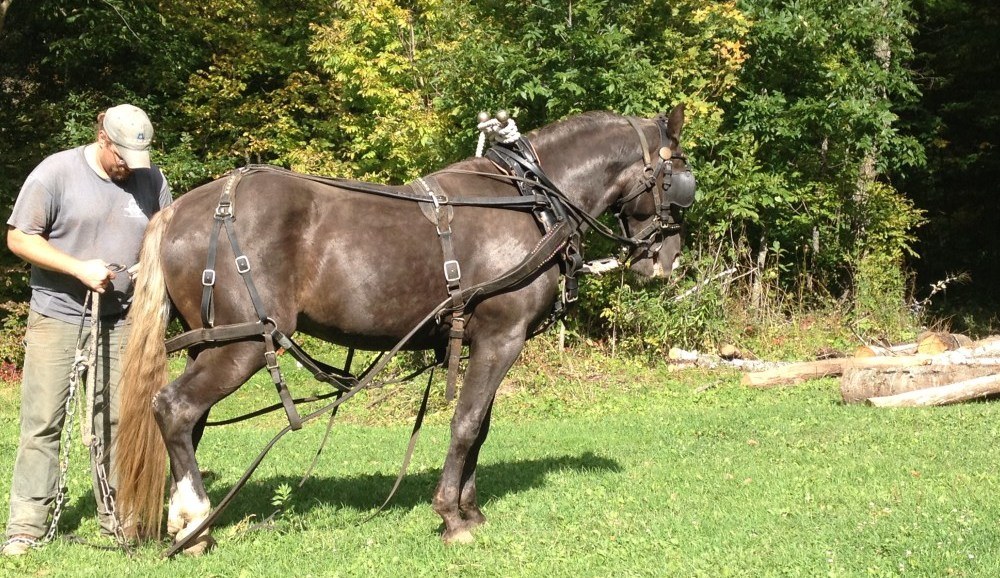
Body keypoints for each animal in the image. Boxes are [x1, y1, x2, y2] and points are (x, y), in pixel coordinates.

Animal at [113, 104, 696, 552]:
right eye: (680, 177)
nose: (666, 260)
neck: (532, 200)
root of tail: (181, 211)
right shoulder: (500, 337)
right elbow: (466, 423)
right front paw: (452, 518)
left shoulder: (484, 343)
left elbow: (482, 426)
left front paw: (471, 510)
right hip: (245, 346)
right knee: (175, 408)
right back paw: (195, 523)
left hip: (211, 342)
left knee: (190, 422)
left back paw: (185, 521)